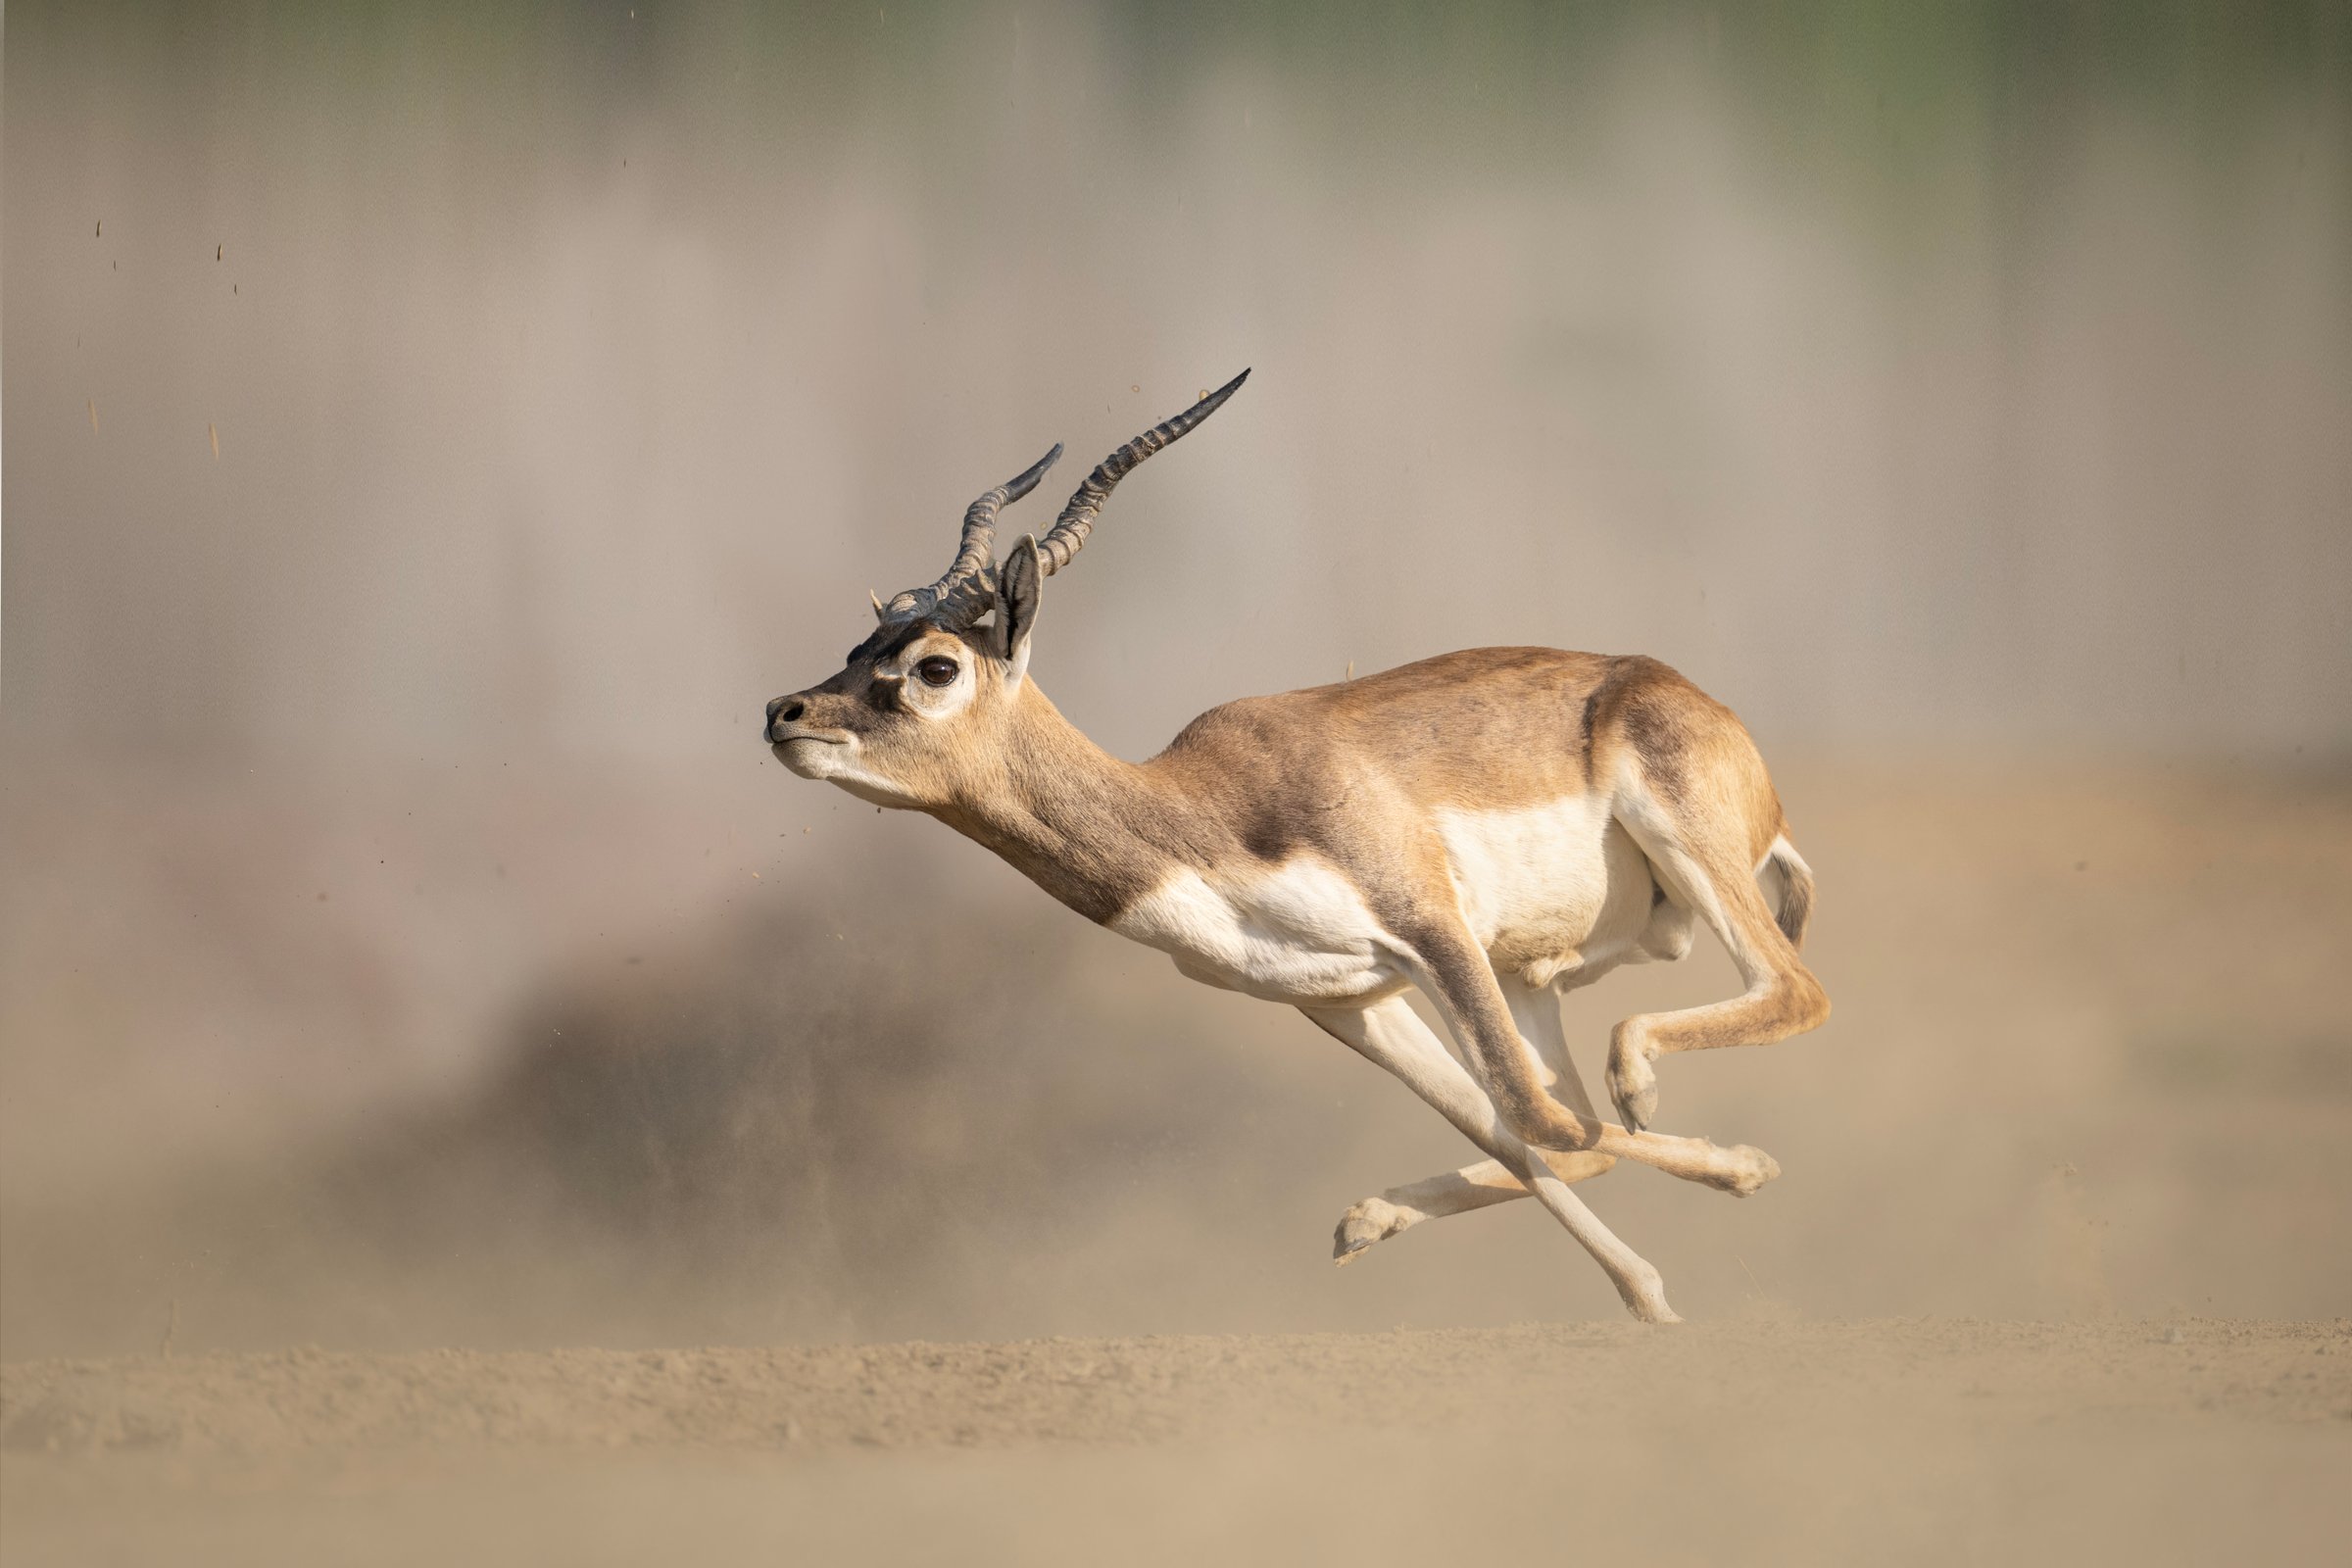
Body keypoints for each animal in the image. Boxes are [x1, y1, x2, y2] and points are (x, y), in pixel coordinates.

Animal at [764, 372, 1829, 1322]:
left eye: (935, 666)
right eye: (858, 651)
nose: (785, 713)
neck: (1203, 820)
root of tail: (1718, 724)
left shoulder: (1429, 926)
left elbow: (1538, 1119)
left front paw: (1742, 1173)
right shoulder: (1347, 998)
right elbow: (1527, 1129)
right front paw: (1648, 1296)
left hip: (1671, 859)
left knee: (1775, 1003)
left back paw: (1674, 1109)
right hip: (1525, 973)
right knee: (1576, 1119)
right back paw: (1378, 1218)